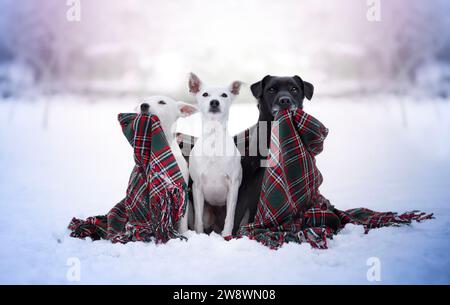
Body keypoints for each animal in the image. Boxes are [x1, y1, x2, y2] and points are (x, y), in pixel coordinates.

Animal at [187, 73, 243, 235]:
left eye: (224, 95)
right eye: (205, 94)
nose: (214, 102)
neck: (213, 135)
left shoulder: (233, 186)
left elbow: (230, 217)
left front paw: (227, 236)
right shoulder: (197, 187)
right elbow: (198, 220)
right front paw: (199, 235)